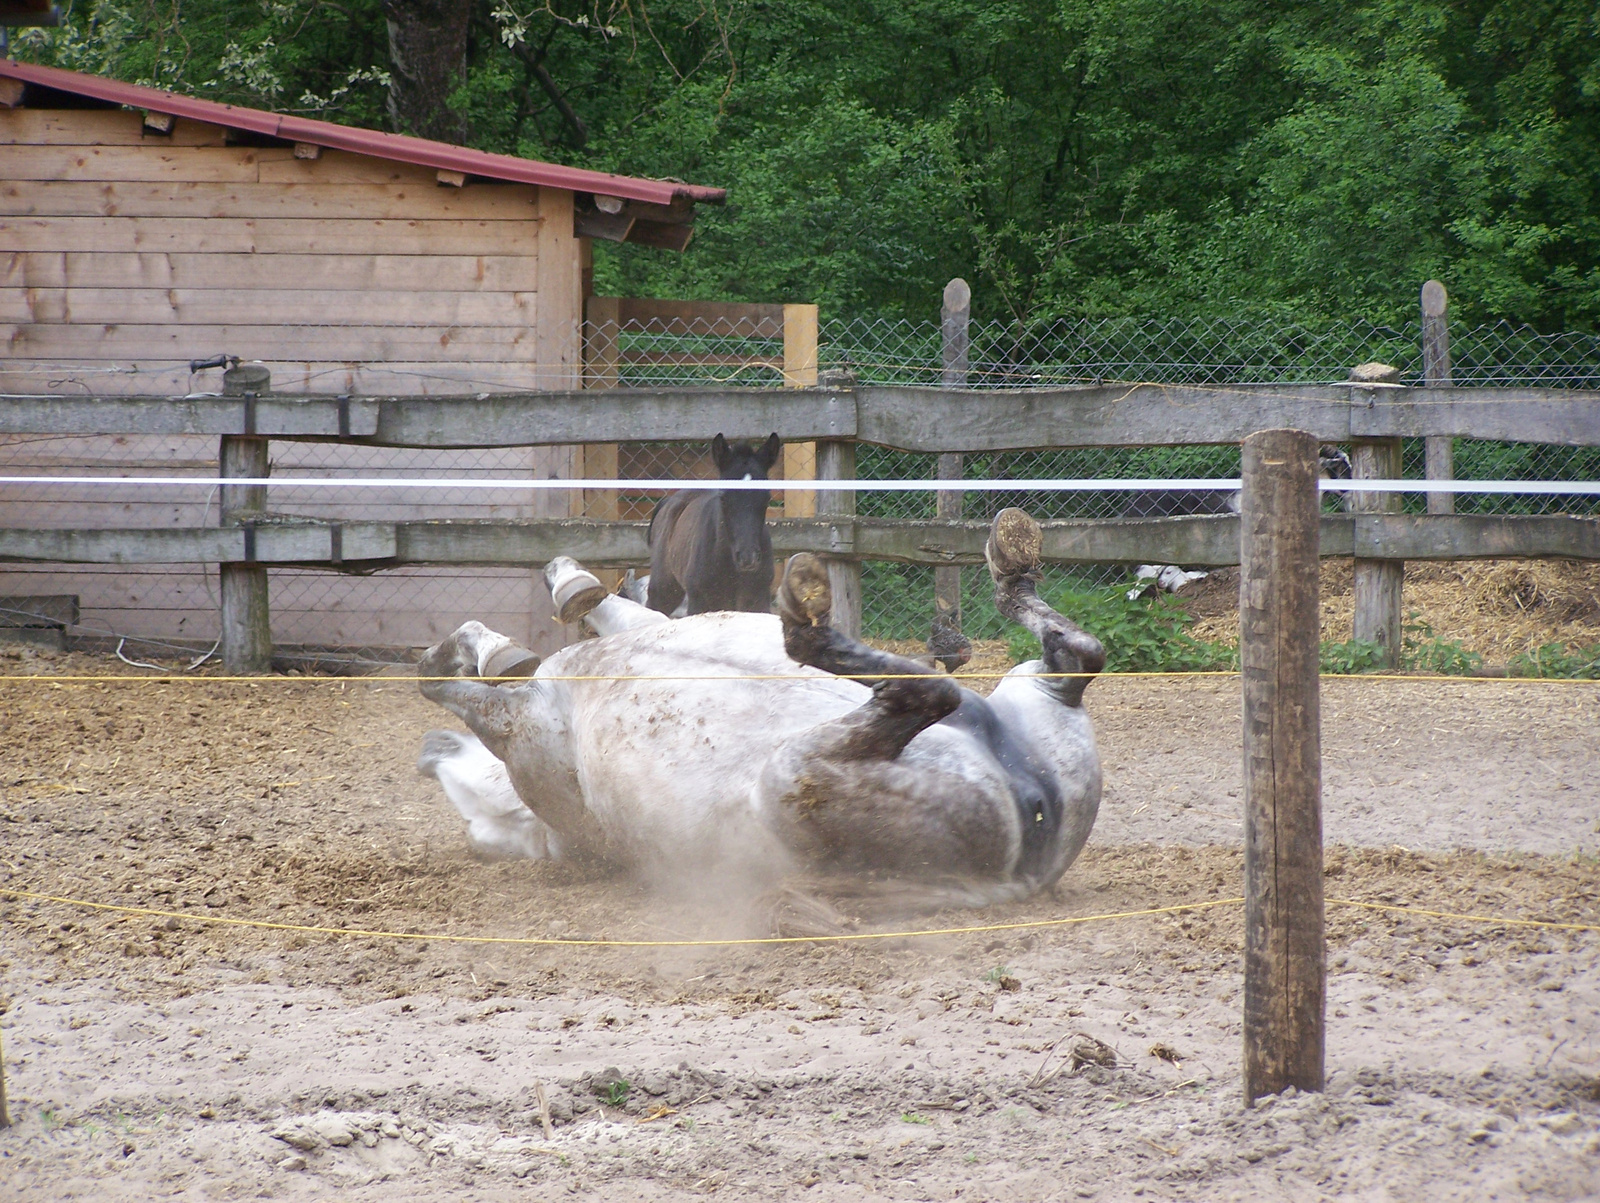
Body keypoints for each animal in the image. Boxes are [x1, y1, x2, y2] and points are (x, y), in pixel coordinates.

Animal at [643, 431, 780, 614]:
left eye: (767, 497)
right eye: (723, 497)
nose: (747, 558)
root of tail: (668, 502)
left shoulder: (758, 602)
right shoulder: (699, 603)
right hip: (663, 590)